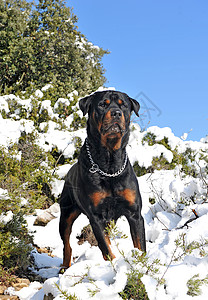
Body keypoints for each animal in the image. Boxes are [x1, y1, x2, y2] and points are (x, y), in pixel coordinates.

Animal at [59, 89, 146, 270]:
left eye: (123, 105)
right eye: (102, 105)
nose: (116, 113)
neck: (109, 163)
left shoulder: (135, 213)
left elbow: (140, 245)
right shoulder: (96, 217)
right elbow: (107, 249)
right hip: (66, 214)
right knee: (67, 243)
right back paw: (65, 268)